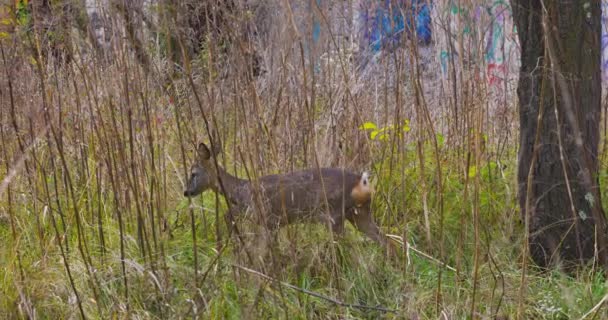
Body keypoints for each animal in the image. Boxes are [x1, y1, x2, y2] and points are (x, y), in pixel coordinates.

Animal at [183, 142, 388, 248]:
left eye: (193, 172)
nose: (186, 192)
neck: (241, 190)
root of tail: (362, 181)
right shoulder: (272, 223)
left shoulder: (261, 214)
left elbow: (228, 215)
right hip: (359, 213)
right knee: (386, 242)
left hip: (334, 214)